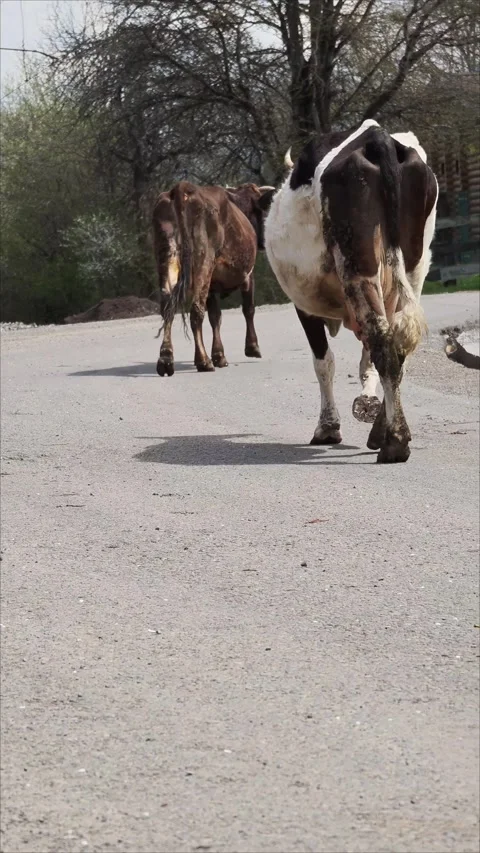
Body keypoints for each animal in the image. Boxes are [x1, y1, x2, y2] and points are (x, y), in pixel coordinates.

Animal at [152, 182, 275, 375]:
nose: (263, 241)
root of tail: (182, 188)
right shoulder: (248, 275)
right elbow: (248, 309)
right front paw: (252, 347)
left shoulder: (212, 287)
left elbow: (215, 317)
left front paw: (219, 355)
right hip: (203, 263)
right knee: (196, 311)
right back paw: (203, 361)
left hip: (166, 258)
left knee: (167, 308)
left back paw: (166, 359)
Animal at [265, 120, 438, 463]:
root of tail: (377, 138)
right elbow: (364, 363)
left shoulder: (304, 306)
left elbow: (324, 362)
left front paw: (327, 427)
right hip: (412, 270)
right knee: (398, 345)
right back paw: (383, 432)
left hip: (357, 264)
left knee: (382, 341)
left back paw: (395, 442)